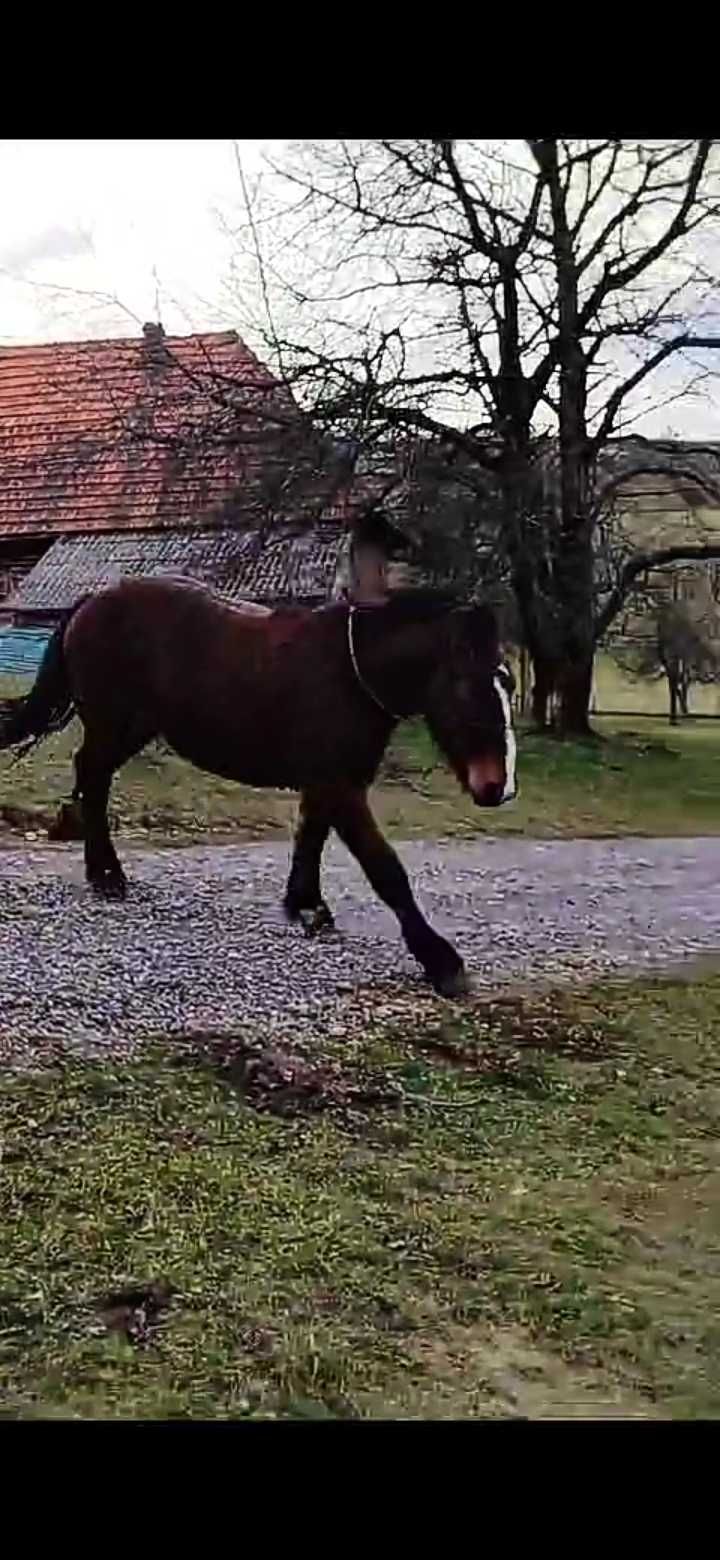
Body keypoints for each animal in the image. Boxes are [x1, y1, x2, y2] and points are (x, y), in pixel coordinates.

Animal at [0, 577, 517, 998]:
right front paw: (440, 960)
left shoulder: (328, 781)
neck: (351, 674)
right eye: (468, 684)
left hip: (131, 728)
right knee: (93, 778)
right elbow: (385, 868)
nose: (499, 786)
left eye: (507, 684)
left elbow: (311, 837)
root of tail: (92, 601)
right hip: (112, 724)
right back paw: (106, 875)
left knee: (92, 776)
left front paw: (306, 906)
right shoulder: (341, 784)